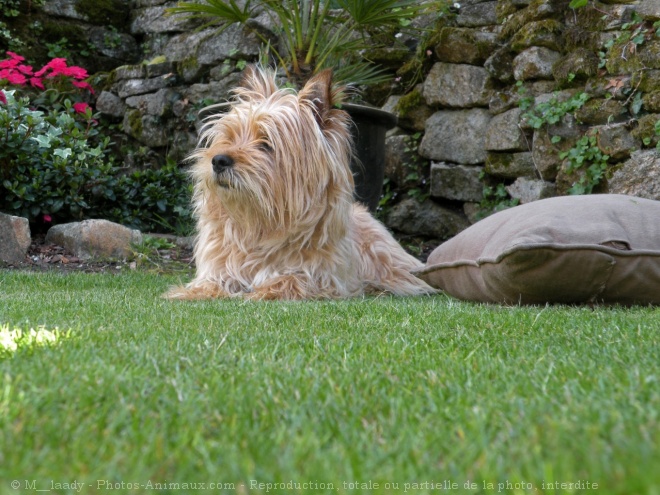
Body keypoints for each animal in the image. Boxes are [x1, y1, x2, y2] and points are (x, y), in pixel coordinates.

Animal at [166, 66, 434, 302]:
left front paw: (262, 291)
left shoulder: (323, 275)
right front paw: (191, 292)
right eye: (229, 138)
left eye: (266, 143)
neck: (259, 223)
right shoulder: (219, 267)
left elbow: (292, 279)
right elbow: (212, 281)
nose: (218, 160)